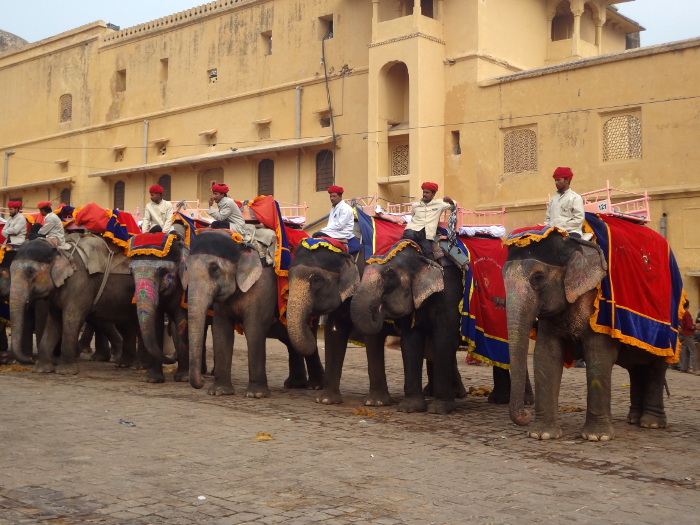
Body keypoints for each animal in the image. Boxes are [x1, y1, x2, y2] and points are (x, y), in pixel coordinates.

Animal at [9, 233, 138, 372]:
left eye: (30, 273)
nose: (30, 360)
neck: (61, 251)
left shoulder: (79, 284)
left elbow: (71, 319)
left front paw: (65, 371)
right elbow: (54, 322)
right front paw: (42, 369)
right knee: (128, 325)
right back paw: (123, 364)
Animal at [183, 229, 320, 398]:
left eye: (214, 268)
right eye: (186, 267)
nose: (202, 381)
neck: (242, 244)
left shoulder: (263, 288)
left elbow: (254, 329)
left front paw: (256, 395)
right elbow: (221, 330)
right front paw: (218, 392)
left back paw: (314, 387)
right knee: (290, 341)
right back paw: (294, 385)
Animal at [506, 231, 676, 440]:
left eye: (538, 277)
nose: (525, 414)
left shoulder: (600, 312)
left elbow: (598, 356)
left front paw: (597, 437)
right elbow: (546, 356)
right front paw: (542, 435)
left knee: (655, 370)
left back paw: (651, 424)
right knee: (637, 369)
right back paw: (634, 419)